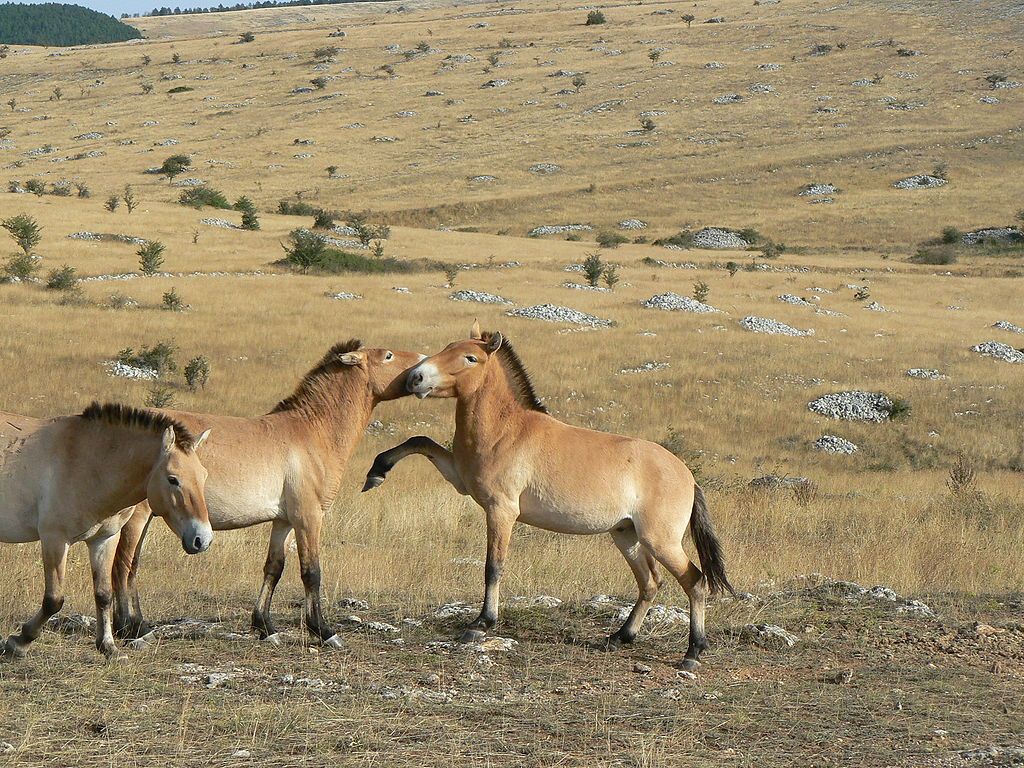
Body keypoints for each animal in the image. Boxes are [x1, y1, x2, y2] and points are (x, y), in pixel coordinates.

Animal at [0, 403, 211, 663]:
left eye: (203, 476)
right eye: (173, 479)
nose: (202, 539)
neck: (87, 463)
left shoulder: (104, 539)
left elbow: (103, 594)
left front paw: (108, 647)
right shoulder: (54, 540)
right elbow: (53, 600)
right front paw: (19, 642)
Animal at [114, 342, 425, 651]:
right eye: (388, 356)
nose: (422, 365)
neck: (312, 432)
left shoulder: (284, 521)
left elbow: (274, 568)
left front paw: (265, 627)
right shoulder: (308, 517)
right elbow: (311, 572)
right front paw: (324, 631)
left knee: (130, 565)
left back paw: (138, 627)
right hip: (137, 517)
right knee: (123, 564)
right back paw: (131, 631)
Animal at [368, 325, 737, 671]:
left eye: (470, 358)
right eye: (447, 347)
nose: (415, 378)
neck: (507, 430)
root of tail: (688, 476)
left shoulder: (501, 510)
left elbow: (493, 566)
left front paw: (480, 624)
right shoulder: (460, 479)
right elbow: (420, 441)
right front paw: (376, 472)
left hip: (660, 541)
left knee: (694, 581)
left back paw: (692, 653)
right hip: (626, 535)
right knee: (650, 583)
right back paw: (619, 638)